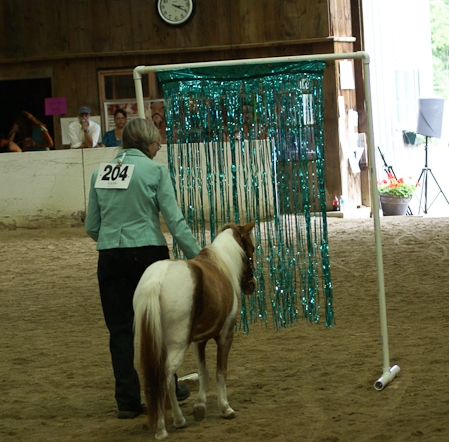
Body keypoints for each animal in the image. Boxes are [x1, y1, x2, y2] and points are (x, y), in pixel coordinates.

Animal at [132, 223, 256, 440]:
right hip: (177, 346)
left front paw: (200, 406)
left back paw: (178, 420)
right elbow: (220, 372)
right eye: (252, 249)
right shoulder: (226, 335)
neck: (222, 264)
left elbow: (203, 371)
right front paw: (225, 408)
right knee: (164, 377)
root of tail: (156, 280)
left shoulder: (199, 340)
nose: (252, 284)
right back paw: (164, 428)